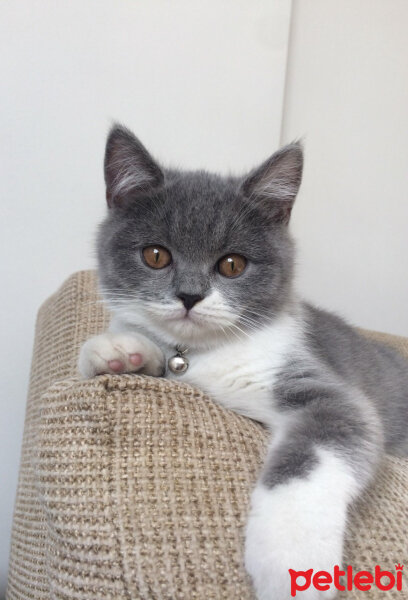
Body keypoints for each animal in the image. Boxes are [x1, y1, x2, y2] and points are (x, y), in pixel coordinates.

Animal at [77, 124, 408, 596]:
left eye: (232, 264)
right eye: (156, 255)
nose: (190, 295)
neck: (202, 355)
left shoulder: (318, 384)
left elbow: (325, 441)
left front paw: (291, 561)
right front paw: (119, 350)